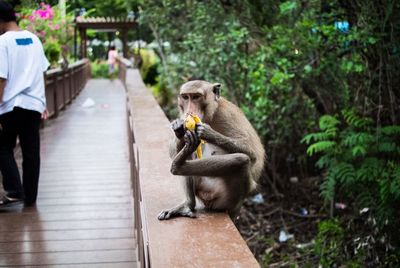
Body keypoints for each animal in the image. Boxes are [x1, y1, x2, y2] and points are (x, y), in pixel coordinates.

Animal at [157, 80, 266, 221]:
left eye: (196, 97)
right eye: (185, 97)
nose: (190, 111)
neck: (210, 115)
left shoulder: (226, 114)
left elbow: (252, 153)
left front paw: (207, 132)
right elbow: (172, 151)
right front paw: (179, 129)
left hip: (226, 200)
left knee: (241, 160)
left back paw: (178, 166)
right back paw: (188, 204)